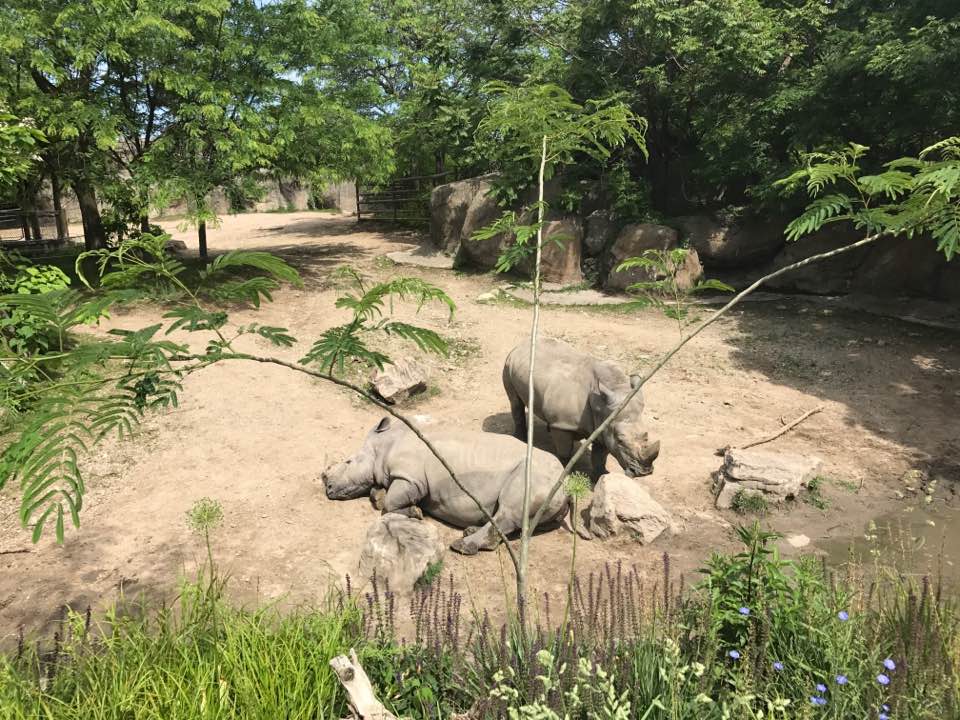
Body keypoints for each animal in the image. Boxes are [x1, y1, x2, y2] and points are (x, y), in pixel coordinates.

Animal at [322, 417, 574, 555]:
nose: (329, 488)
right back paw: (471, 531)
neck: (386, 444)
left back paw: (462, 545)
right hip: (546, 485)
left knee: (509, 509)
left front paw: (416, 512)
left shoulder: (410, 478)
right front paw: (381, 497)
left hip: (533, 475)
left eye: (348, 462)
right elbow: (381, 495)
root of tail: (565, 488)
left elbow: (391, 504)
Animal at [502, 337, 660, 478]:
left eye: (646, 436)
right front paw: (564, 472)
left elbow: (600, 456)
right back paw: (520, 440)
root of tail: (521, 344)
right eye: (620, 441)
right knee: (515, 403)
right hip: (508, 363)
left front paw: (601, 476)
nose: (644, 473)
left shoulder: (604, 424)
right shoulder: (563, 425)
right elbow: (565, 452)